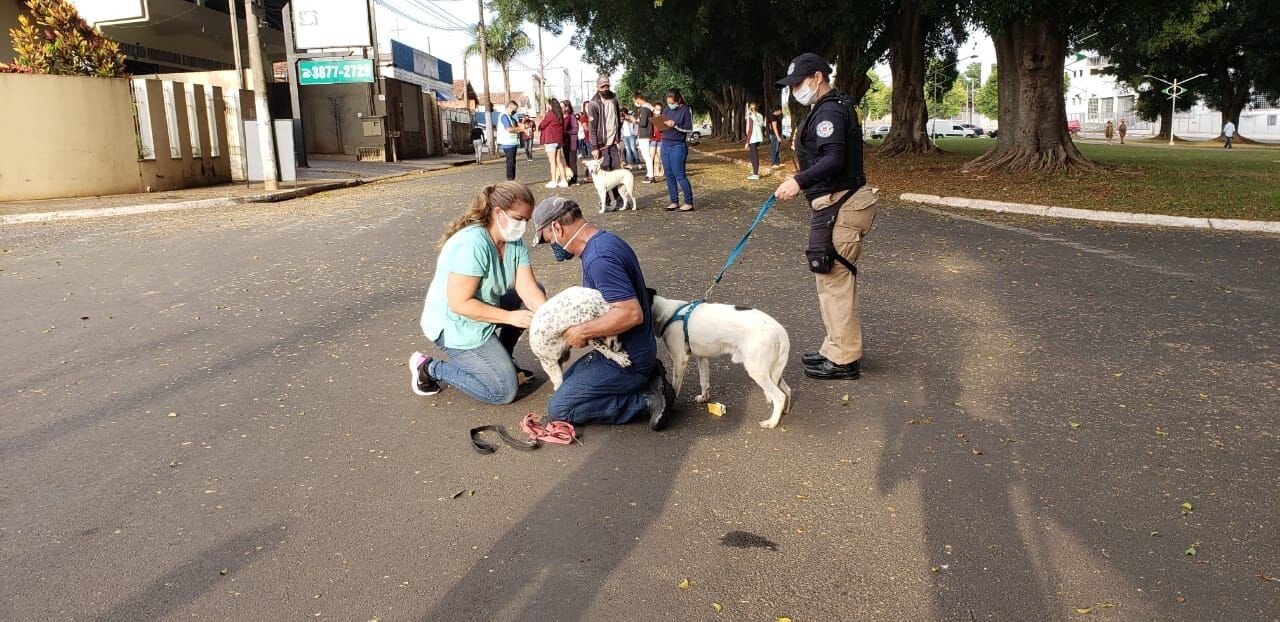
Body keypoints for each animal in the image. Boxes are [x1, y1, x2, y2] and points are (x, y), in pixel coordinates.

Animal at [655, 293, 793, 427]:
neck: (668, 313)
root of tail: (780, 331)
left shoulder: (680, 360)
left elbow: (674, 387)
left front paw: (669, 406)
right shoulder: (702, 357)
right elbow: (704, 382)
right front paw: (704, 398)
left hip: (757, 370)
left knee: (780, 396)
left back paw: (772, 422)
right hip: (772, 370)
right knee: (787, 391)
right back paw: (784, 411)